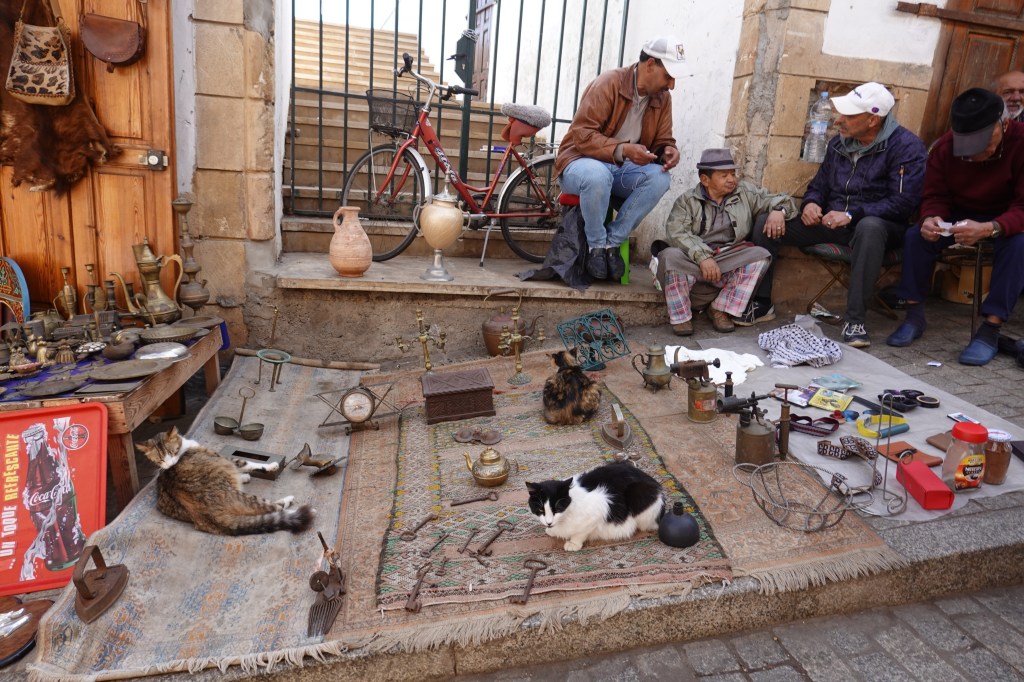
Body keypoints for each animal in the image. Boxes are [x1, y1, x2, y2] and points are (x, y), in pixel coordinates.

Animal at [135, 426, 315, 536]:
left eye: (173, 452)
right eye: (160, 459)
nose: (170, 464)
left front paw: (244, 477)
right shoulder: (224, 458)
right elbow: (246, 463)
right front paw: (271, 466)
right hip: (247, 498)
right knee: (274, 508)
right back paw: (299, 505)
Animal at [526, 462, 665, 551]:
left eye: (557, 509)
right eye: (540, 509)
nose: (549, 523)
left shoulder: (597, 512)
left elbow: (580, 533)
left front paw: (573, 544)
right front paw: (551, 530)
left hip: (641, 496)